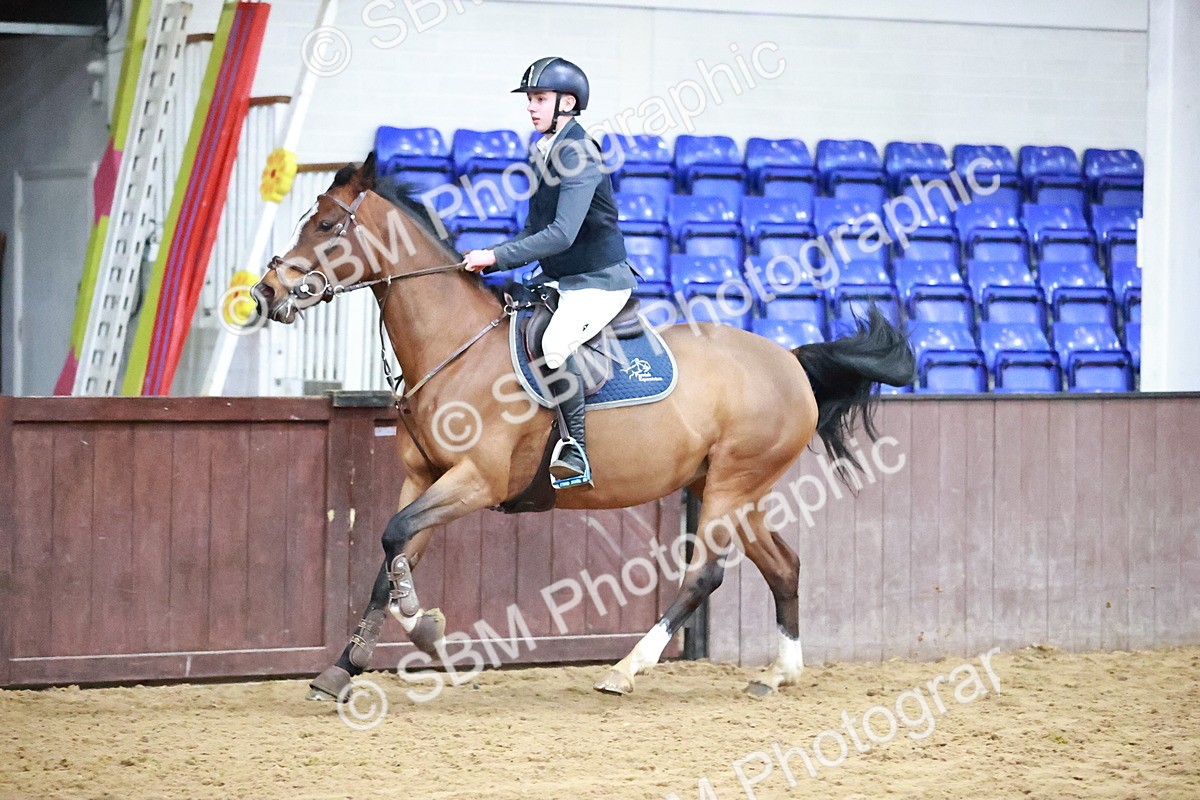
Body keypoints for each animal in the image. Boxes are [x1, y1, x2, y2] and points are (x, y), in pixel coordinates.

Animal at [252, 153, 915, 700]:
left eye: (326, 226)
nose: (265, 292)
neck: (456, 347)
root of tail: (791, 361)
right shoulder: (424, 478)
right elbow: (390, 557)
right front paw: (344, 668)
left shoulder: (476, 481)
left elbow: (394, 541)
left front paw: (427, 632)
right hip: (730, 489)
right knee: (783, 565)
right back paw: (778, 673)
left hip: (732, 483)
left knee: (705, 574)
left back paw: (626, 669)